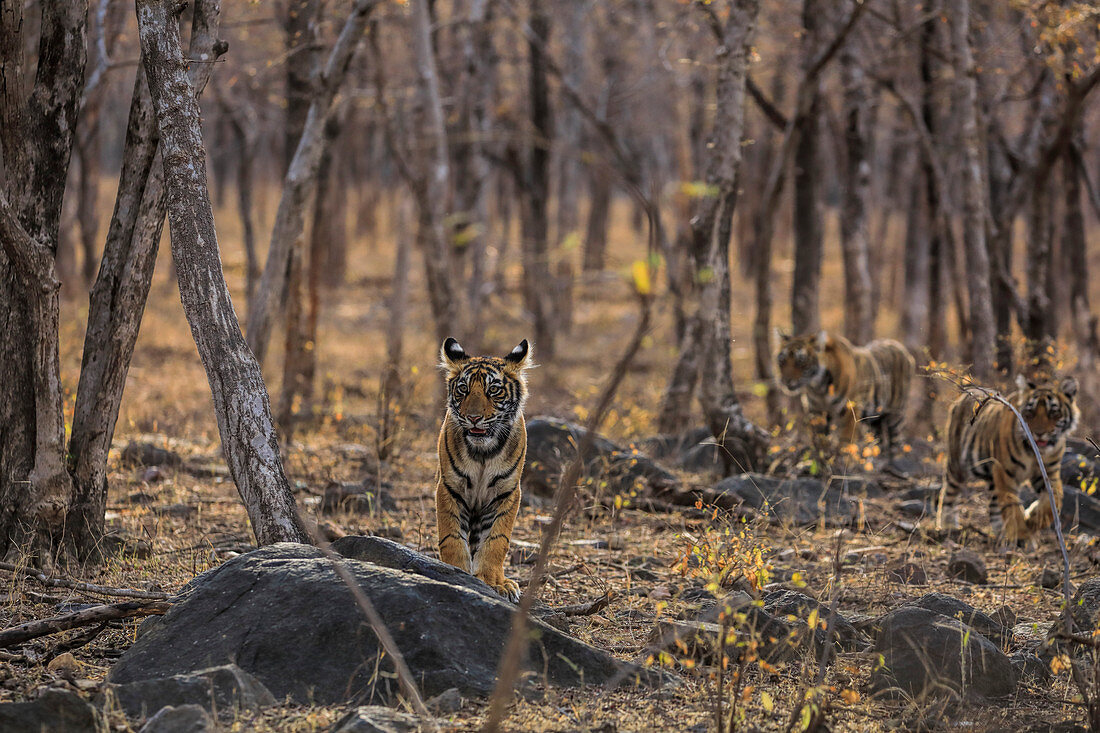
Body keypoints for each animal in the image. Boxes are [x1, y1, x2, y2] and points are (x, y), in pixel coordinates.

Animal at [435, 336, 530, 598]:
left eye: (493, 390)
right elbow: (452, 536)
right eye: (463, 389)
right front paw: (455, 573)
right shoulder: (449, 488)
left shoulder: (507, 493)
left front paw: (494, 581)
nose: (474, 418)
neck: (483, 453)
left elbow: (496, 540)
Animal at [774, 330, 919, 462]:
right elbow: (820, 437)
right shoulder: (816, 411)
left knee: (896, 440)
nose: (785, 381)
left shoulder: (850, 409)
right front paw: (820, 458)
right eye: (782, 361)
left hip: (895, 414)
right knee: (881, 439)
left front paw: (842, 459)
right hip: (875, 419)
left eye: (800, 361)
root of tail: (901, 348)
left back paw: (896, 460)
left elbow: (845, 437)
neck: (819, 388)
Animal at [937, 374, 1082, 539]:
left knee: (994, 505)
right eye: (1030, 412)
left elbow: (1055, 500)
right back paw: (948, 525)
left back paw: (1000, 532)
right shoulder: (1005, 472)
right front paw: (1021, 535)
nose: (1039, 433)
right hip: (957, 465)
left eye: (1053, 412)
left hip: (991, 478)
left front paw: (1031, 519)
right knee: (948, 493)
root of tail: (966, 392)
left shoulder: (1048, 472)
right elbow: (1012, 507)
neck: (1033, 452)